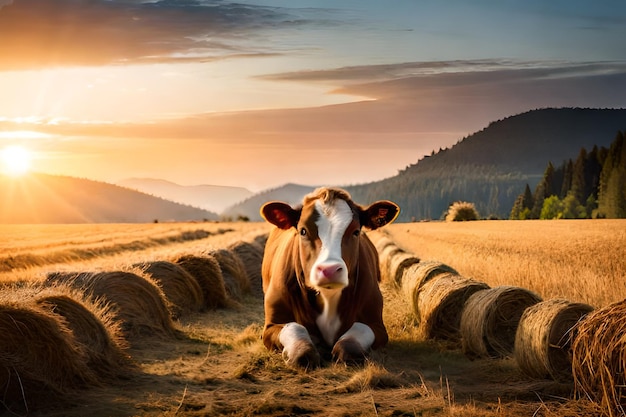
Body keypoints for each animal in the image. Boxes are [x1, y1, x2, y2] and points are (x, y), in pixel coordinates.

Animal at [260, 187, 400, 366]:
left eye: (356, 232)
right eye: (303, 231)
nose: (329, 270)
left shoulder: (377, 325)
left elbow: (352, 339)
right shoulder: (270, 326)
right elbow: (295, 329)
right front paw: (303, 350)